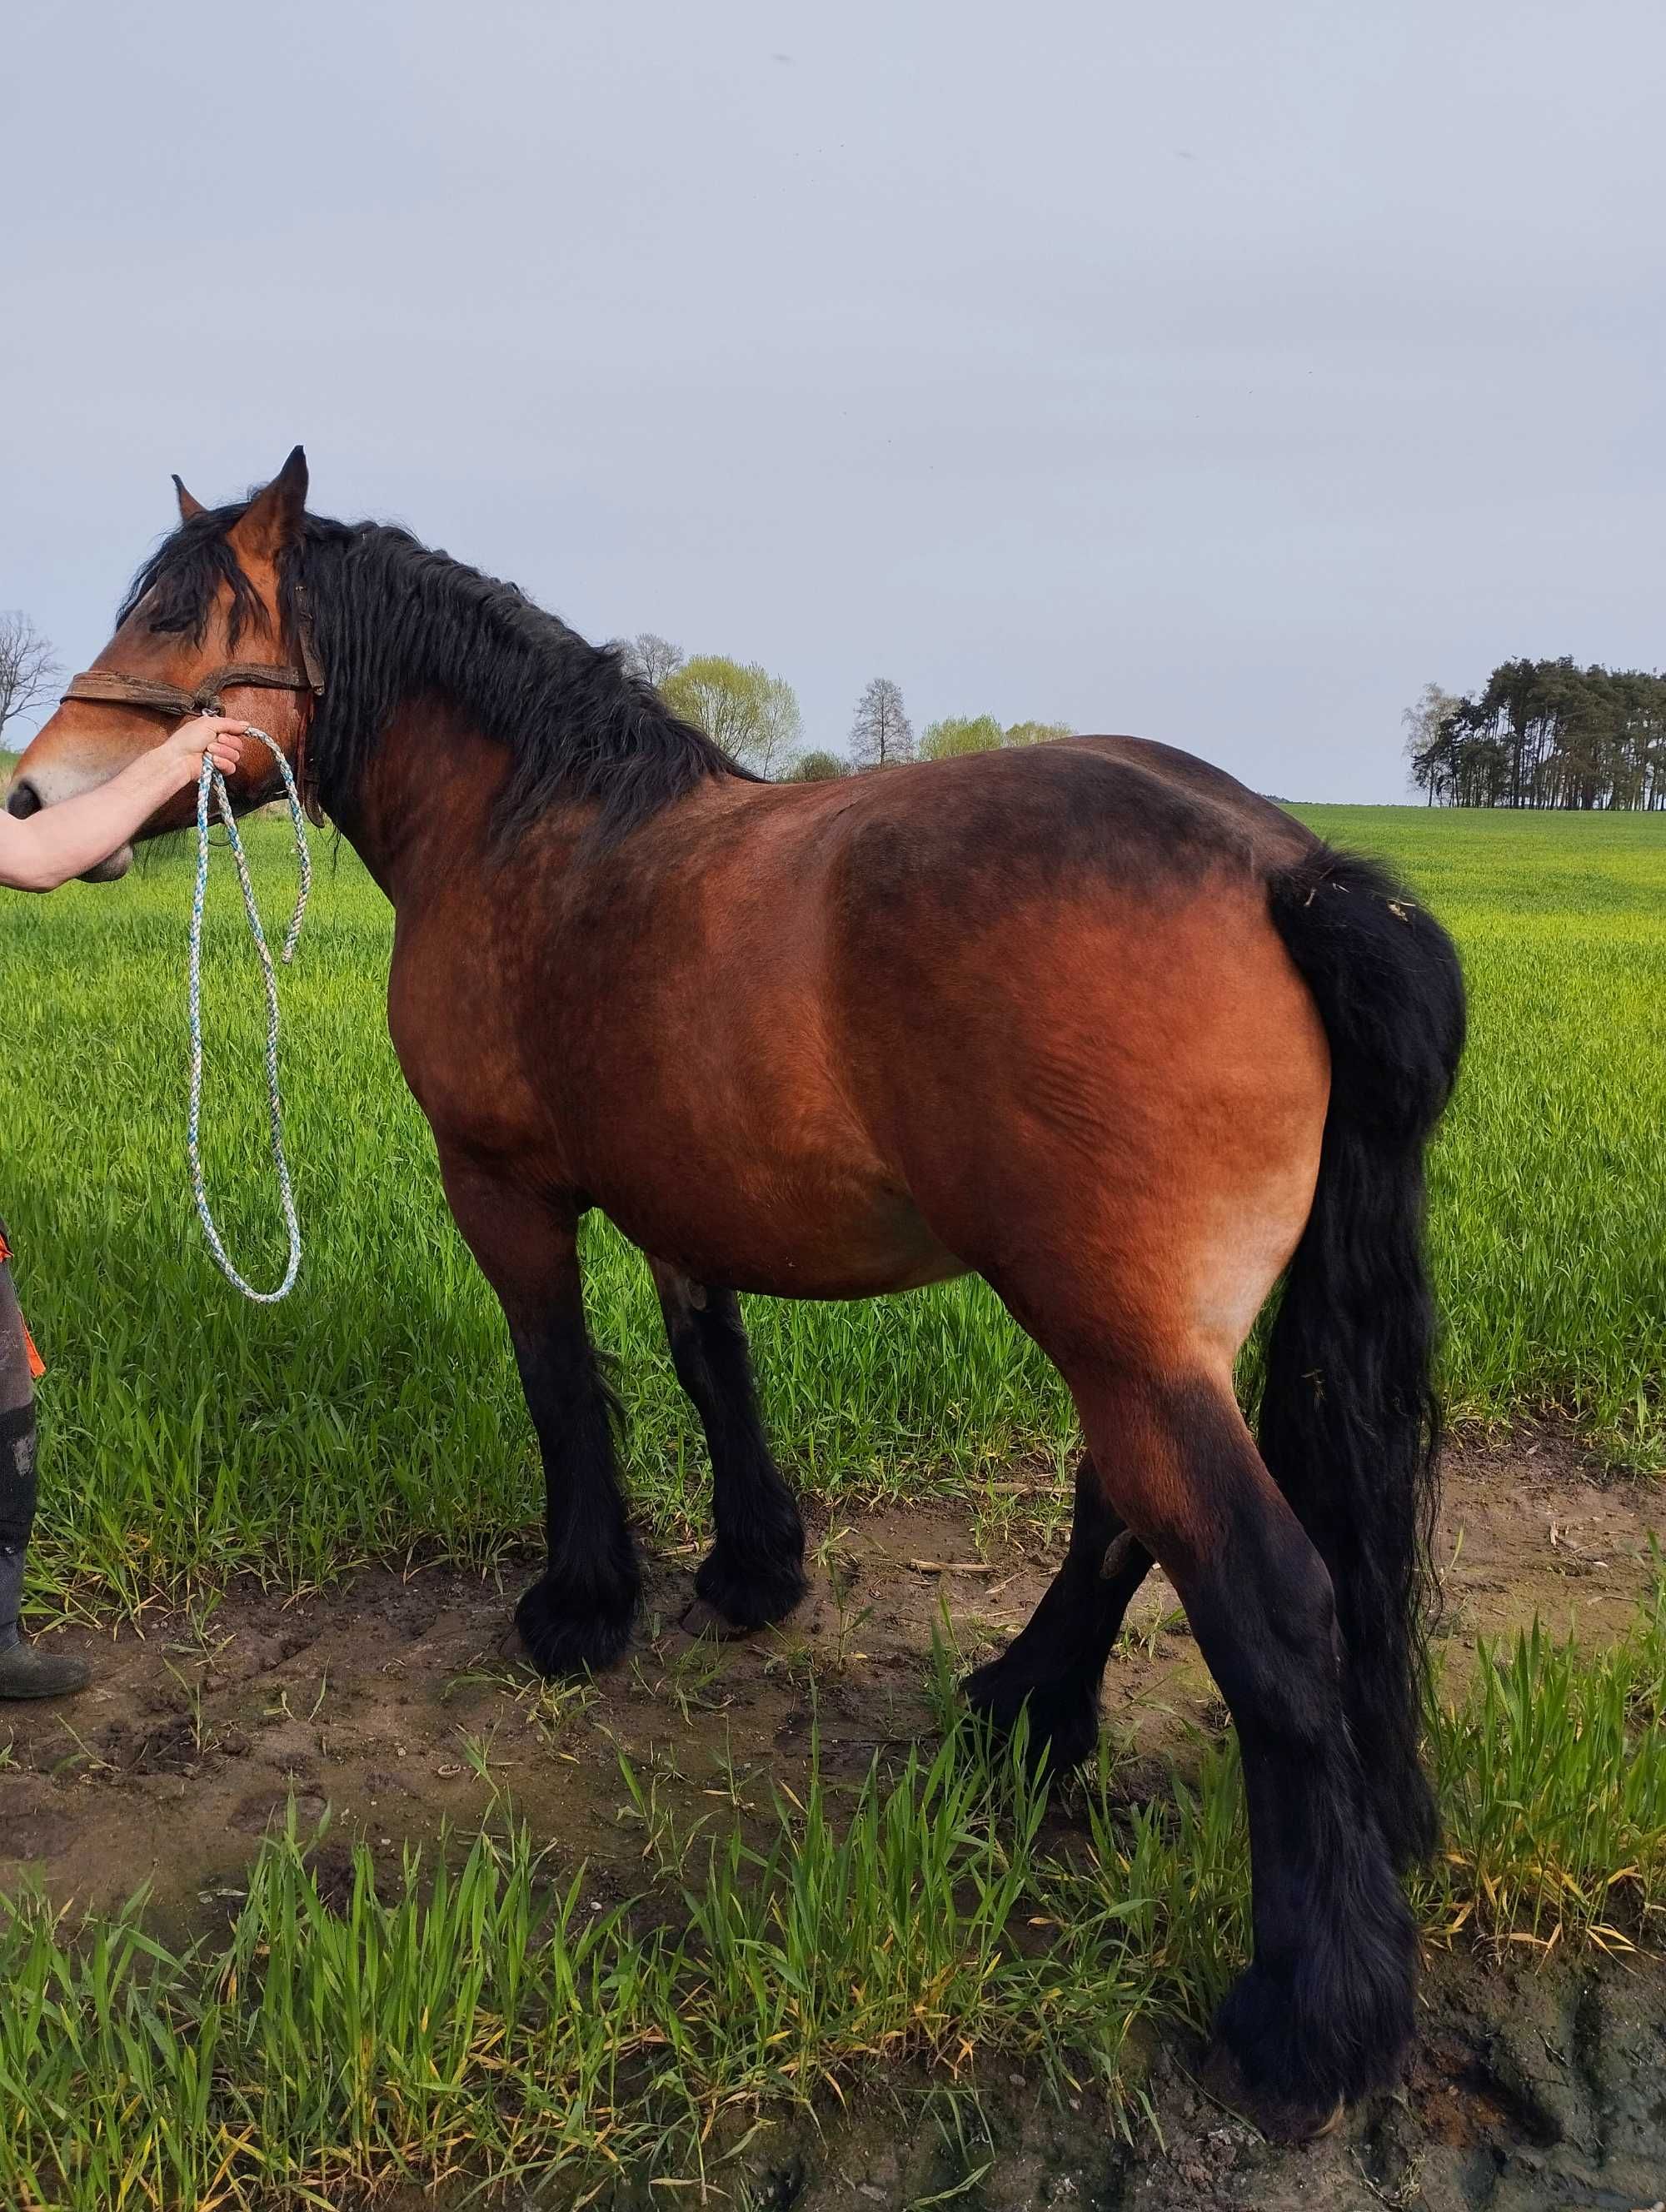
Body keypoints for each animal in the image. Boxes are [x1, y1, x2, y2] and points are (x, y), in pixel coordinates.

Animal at [16, 453, 1469, 2141]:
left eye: (182, 618)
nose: (32, 799)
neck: (538, 831)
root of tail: (1282, 867)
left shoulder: (500, 1188)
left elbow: (563, 1385)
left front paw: (584, 1606)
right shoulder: (678, 1194)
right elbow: (712, 1365)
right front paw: (753, 1570)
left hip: (1123, 1338)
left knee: (1267, 1600)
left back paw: (1308, 2020)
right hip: (1150, 1341)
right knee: (1121, 1515)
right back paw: (1019, 1716)